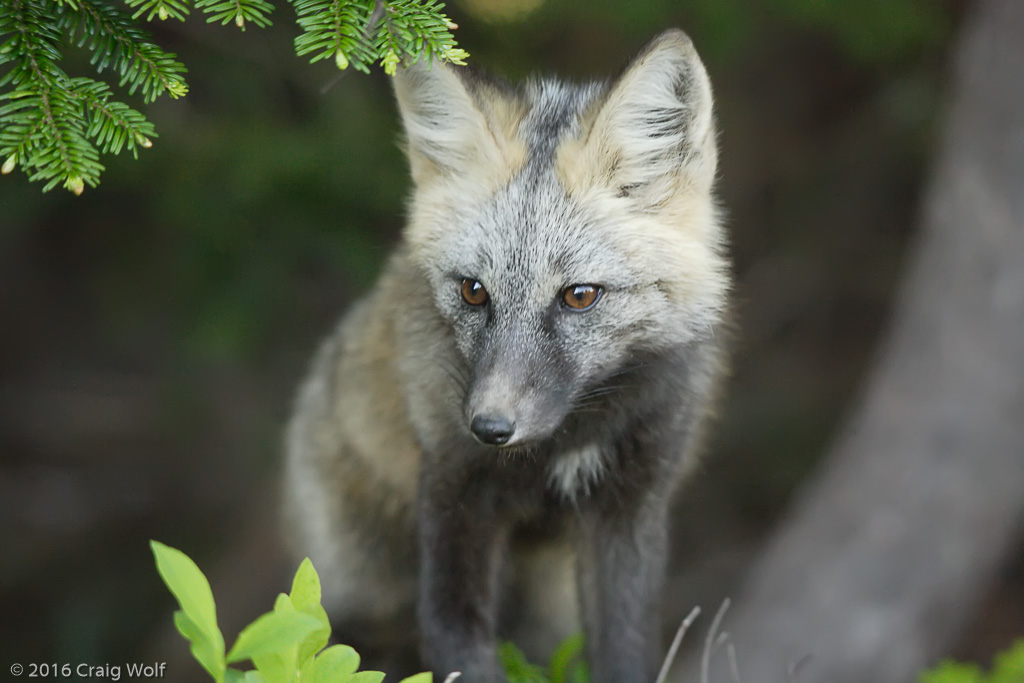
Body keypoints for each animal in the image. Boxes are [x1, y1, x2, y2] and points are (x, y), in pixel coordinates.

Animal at [280, 29, 729, 683]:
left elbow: (625, 649)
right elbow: (456, 639)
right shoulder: (453, 493)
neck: (564, 445)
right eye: (474, 290)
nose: (490, 427)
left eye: (579, 295)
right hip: (365, 596)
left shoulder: (631, 508)